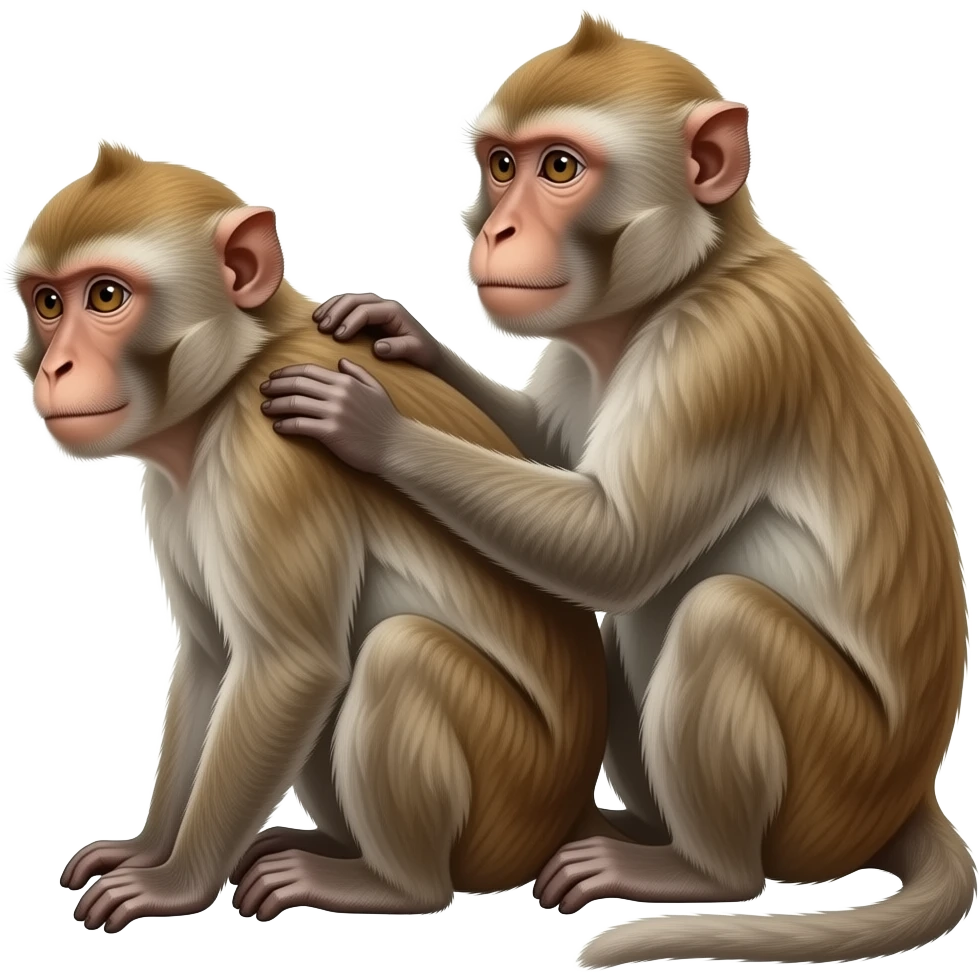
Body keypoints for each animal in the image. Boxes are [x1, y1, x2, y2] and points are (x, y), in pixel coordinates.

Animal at [9, 140, 610, 934]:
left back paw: (388, 884)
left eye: (106, 297)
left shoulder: (269, 458)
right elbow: (210, 657)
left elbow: (290, 669)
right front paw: (146, 850)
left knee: (399, 655)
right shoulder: (172, 490)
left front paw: (175, 885)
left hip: (510, 806)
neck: (230, 385)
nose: (55, 368)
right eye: (49, 304)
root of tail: (567, 818)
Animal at [256, 13, 977, 967]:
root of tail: (906, 796)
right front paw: (404, 334)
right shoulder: (586, 345)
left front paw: (372, 428)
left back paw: (698, 869)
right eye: (501, 165)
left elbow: (615, 546)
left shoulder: (721, 352)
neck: (698, 272)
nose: (498, 233)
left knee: (715, 615)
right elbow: (555, 465)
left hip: (839, 788)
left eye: (560, 167)